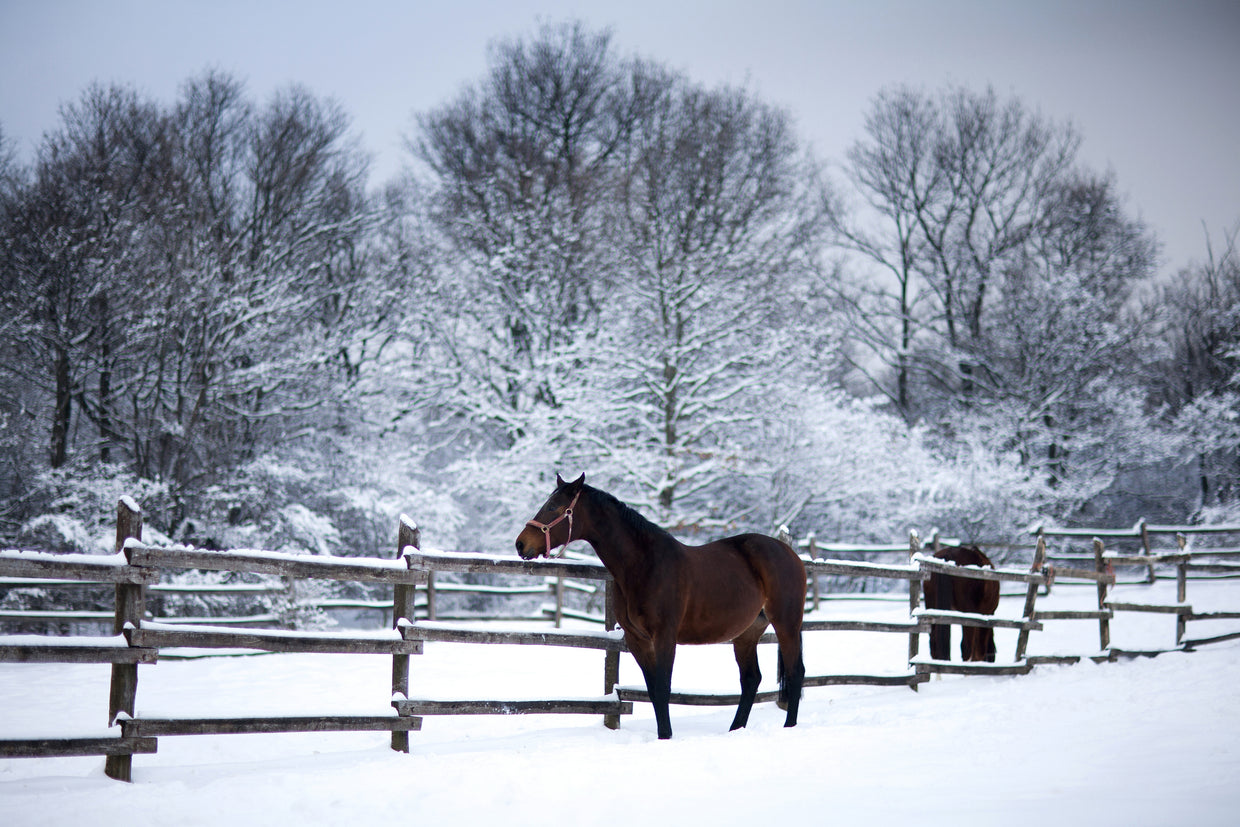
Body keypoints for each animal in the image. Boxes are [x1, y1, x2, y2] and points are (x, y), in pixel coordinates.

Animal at [510, 476, 803, 738]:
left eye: (554, 507)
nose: (521, 544)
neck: (644, 565)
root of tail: (790, 553)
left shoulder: (665, 636)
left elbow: (663, 688)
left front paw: (666, 737)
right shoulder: (637, 639)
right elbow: (653, 690)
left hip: (786, 624)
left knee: (795, 671)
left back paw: (789, 727)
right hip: (746, 634)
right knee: (751, 679)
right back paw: (735, 730)